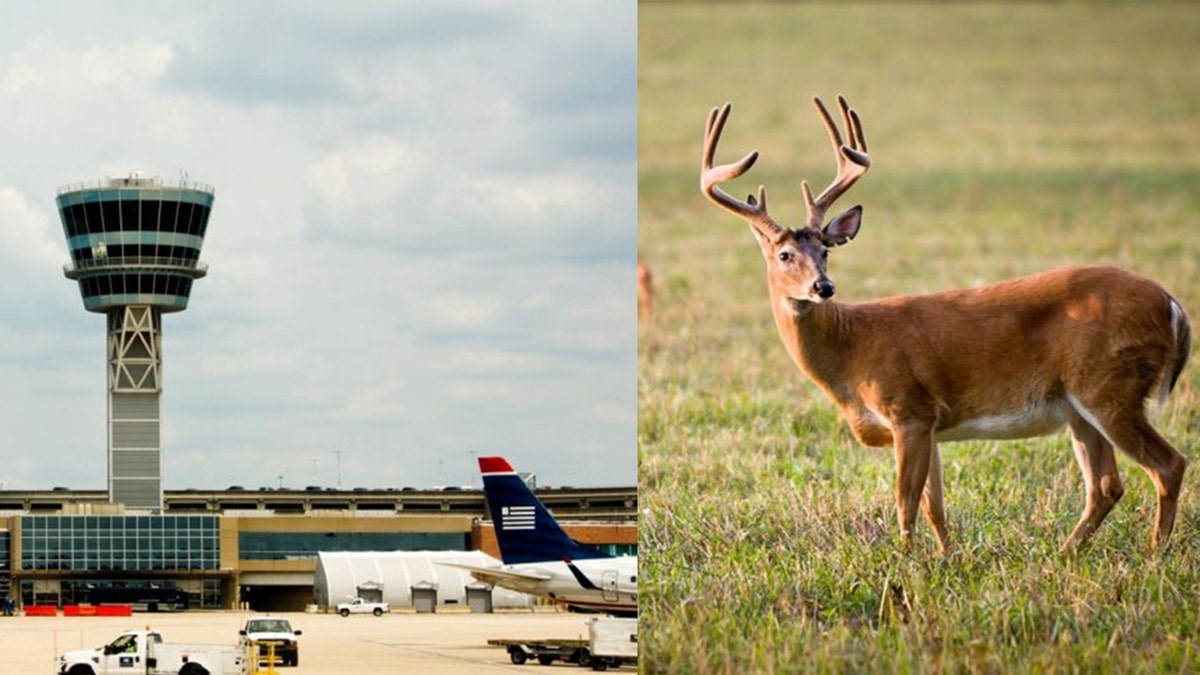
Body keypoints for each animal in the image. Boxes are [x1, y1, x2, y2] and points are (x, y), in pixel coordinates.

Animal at [700, 96, 1190, 552]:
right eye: (785, 255)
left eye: (825, 250)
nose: (823, 287)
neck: (851, 348)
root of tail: (1173, 305)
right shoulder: (930, 423)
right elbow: (935, 506)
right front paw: (946, 558)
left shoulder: (908, 408)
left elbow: (905, 502)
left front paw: (904, 561)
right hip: (1079, 406)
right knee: (1106, 485)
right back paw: (1068, 552)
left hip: (1109, 385)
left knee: (1168, 464)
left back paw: (1154, 554)